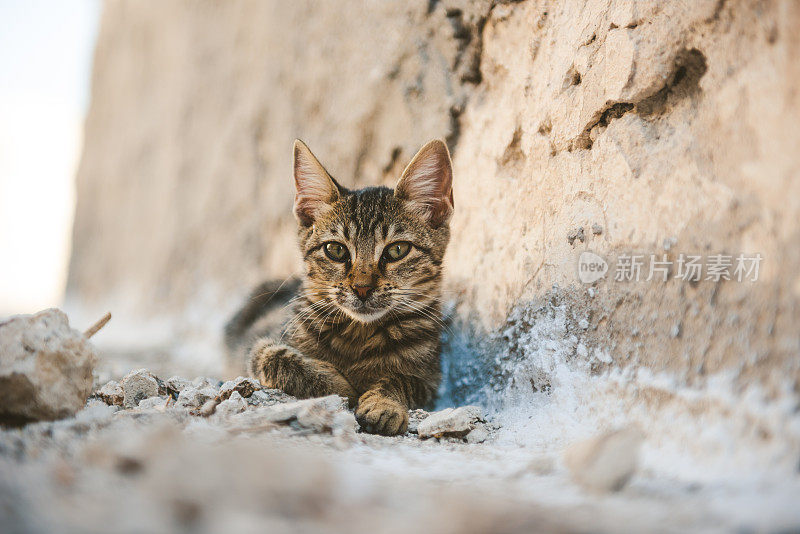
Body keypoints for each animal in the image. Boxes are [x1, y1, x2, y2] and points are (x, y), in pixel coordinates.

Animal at [225, 140, 454, 438]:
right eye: (335, 250)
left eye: (397, 250)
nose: (362, 288)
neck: (359, 332)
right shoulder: (257, 345)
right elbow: (273, 356)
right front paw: (340, 386)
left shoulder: (429, 379)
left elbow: (400, 378)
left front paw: (383, 405)